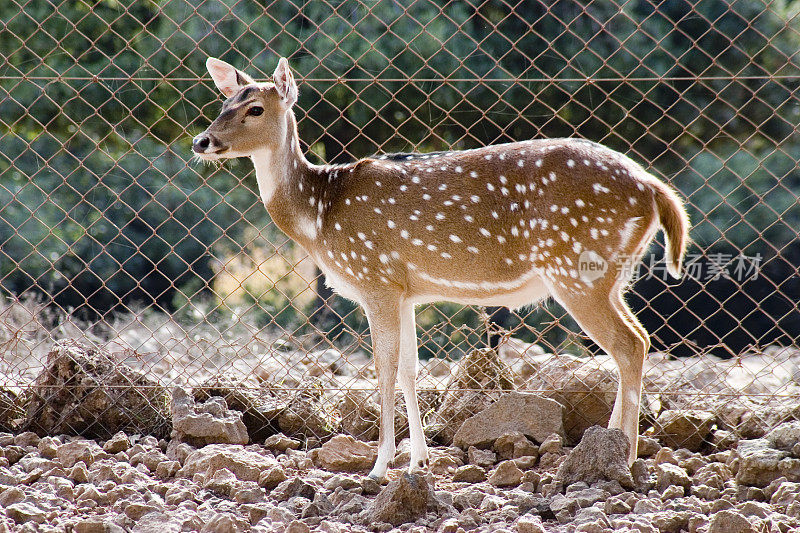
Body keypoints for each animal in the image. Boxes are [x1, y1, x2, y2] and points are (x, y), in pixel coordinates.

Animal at [192, 56, 688, 480]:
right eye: (222, 104)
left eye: (254, 108)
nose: (201, 141)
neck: (319, 216)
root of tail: (654, 188)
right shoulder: (405, 289)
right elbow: (410, 369)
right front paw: (419, 460)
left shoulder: (374, 277)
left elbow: (383, 367)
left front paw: (379, 466)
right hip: (608, 275)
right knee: (638, 339)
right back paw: (613, 446)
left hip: (578, 268)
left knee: (629, 344)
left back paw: (622, 456)